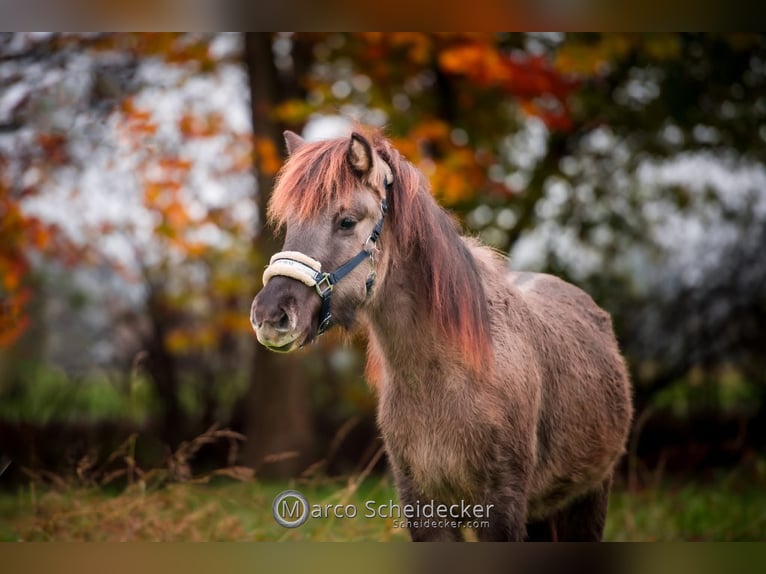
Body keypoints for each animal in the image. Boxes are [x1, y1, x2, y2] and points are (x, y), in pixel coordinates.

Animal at [252, 128, 636, 544]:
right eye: (290, 224)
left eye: (347, 222)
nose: (270, 316)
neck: (444, 378)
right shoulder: (424, 508)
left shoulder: (501, 509)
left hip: (588, 499)